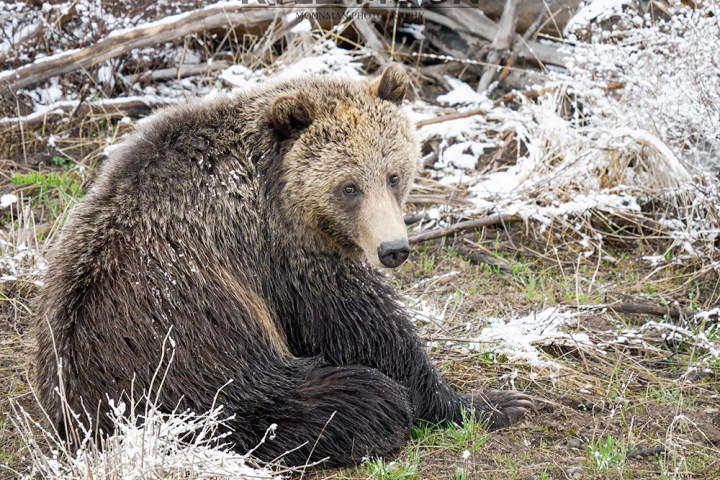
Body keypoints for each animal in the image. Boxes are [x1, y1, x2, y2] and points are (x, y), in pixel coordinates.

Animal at [34, 64, 533, 468]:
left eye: (394, 176)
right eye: (348, 187)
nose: (393, 249)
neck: (274, 189)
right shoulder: (280, 255)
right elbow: (366, 328)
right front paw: (494, 402)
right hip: (193, 359)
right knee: (343, 398)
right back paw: (372, 408)